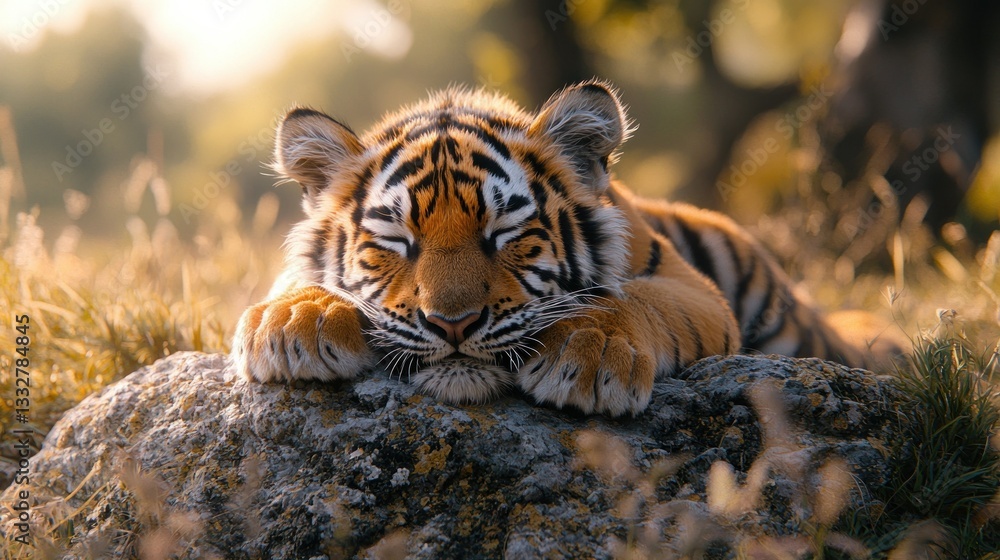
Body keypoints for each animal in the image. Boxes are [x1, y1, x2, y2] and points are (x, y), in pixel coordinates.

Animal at [231, 80, 889, 417]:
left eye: (503, 233)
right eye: (397, 241)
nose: (452, 324)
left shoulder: (691, 288)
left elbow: (629, 301)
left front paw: (591, 355)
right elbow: (294, 283)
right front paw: (295, 322)